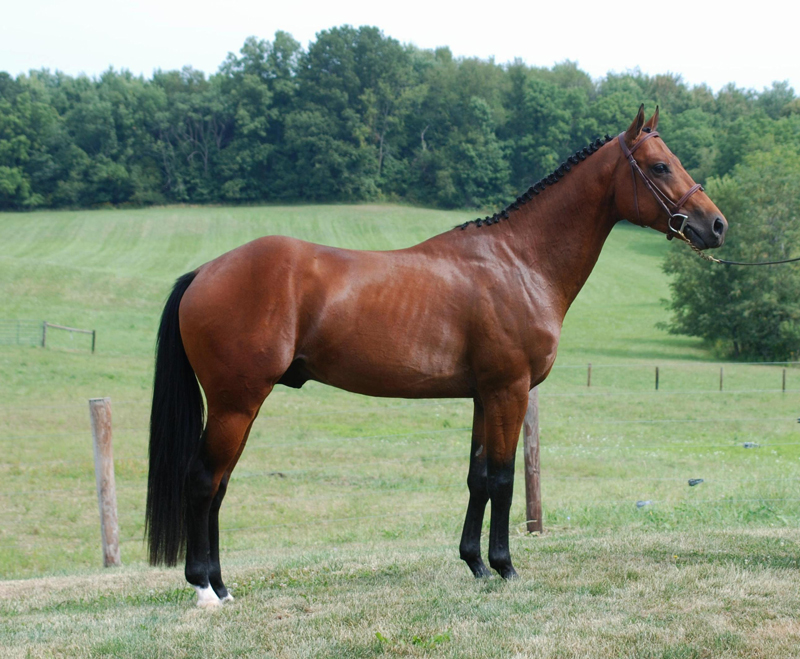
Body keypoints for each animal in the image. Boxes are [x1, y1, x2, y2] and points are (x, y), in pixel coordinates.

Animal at [146, 106, 728, 608]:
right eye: (660, 165)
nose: (717, 225)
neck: (520, 262)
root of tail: (204, 272)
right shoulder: (510, 391)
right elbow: (502, 479)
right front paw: (505, 567)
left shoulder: (483, 396)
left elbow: (477, 477)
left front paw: (475, 564)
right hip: (235, 403)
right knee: (203, 481)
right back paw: (204, 589)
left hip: (238, 408)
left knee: (219, 486)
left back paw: (223, 586)